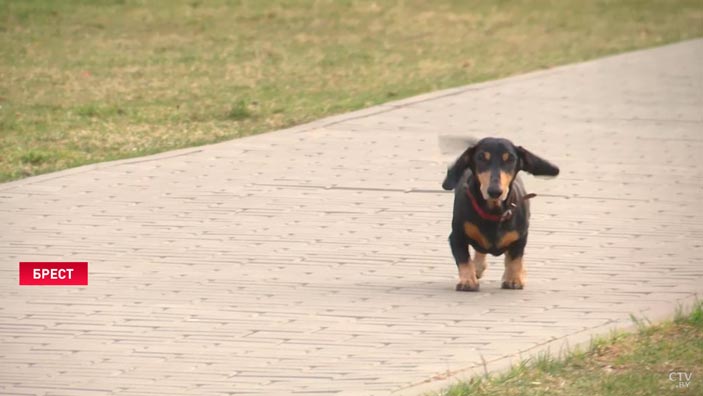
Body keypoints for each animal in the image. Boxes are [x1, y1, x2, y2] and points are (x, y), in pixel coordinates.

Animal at [442, 138, 560, 290]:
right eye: (481, 157)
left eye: (510, 159)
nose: (495, 191)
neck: (494, 213)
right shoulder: (456, 237)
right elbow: (464, 260)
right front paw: (468, 280)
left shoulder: (520, 238)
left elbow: (515, 259)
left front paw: (514, 279)